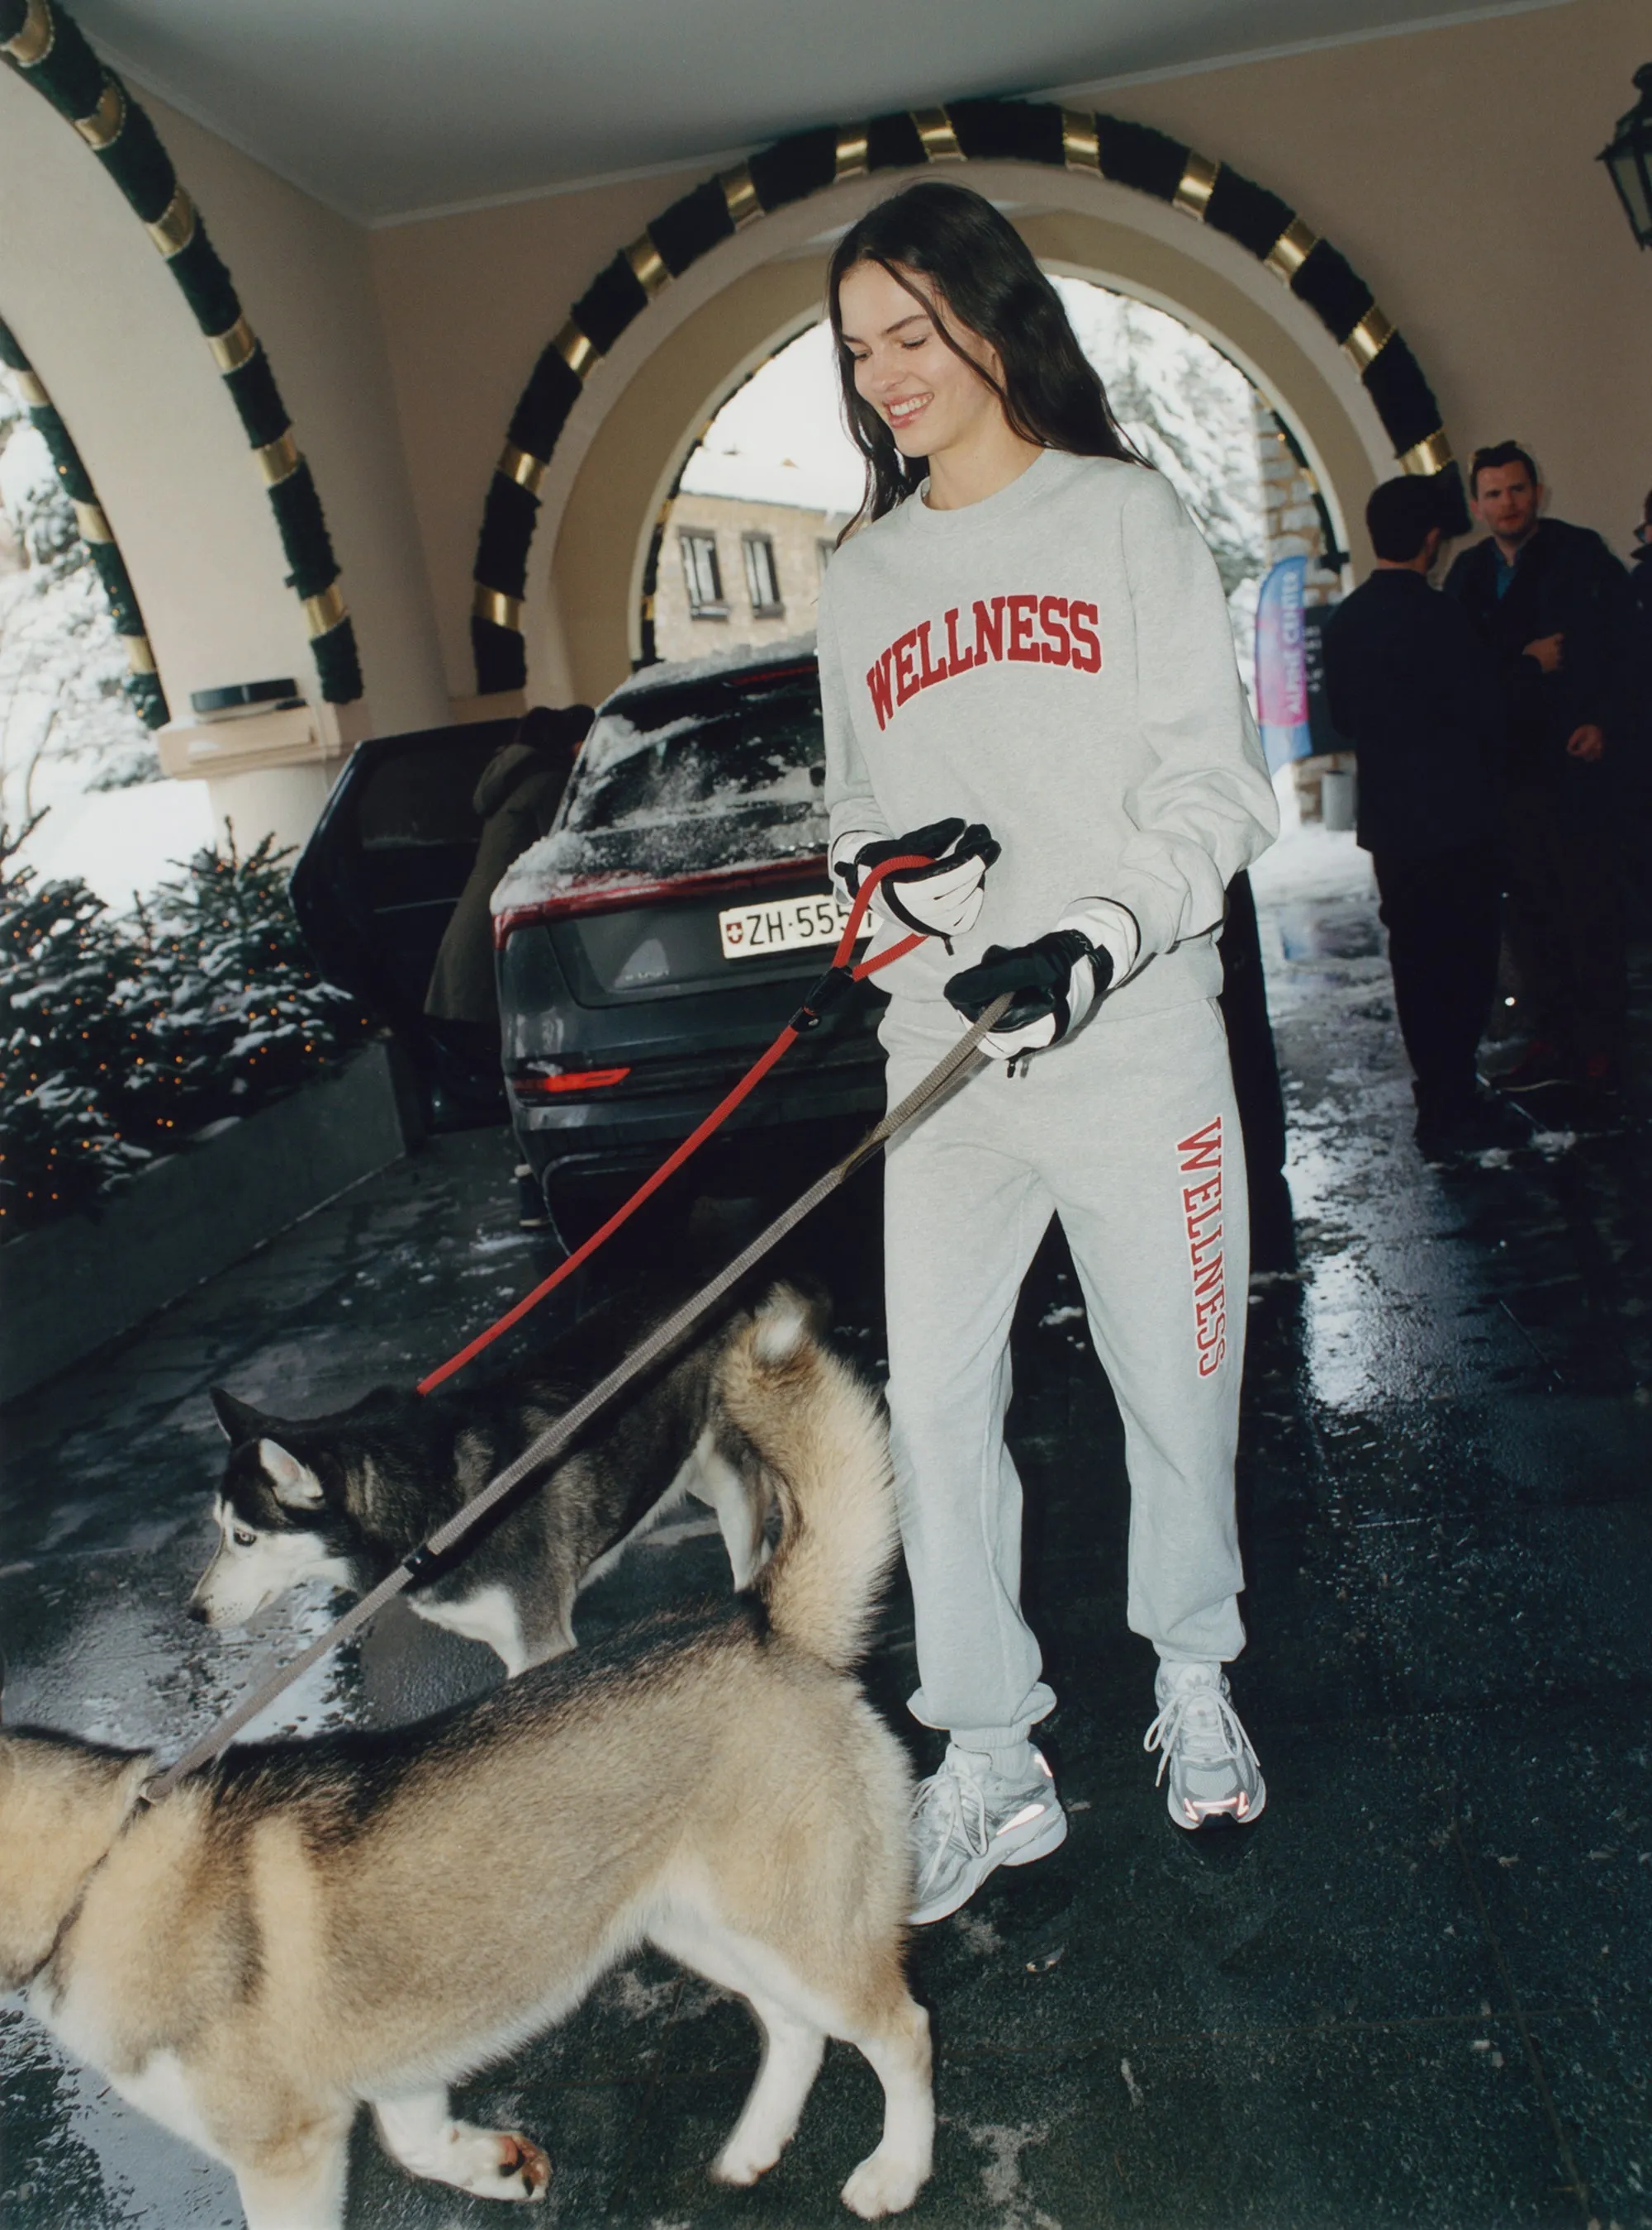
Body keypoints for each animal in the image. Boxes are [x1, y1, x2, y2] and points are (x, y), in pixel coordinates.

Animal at [190, 1293, 802, 1677]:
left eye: (244, 1537)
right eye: (220, 1530)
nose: (194, 1614)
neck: (433, 1515)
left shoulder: (541, 1645)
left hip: (729, 1485)